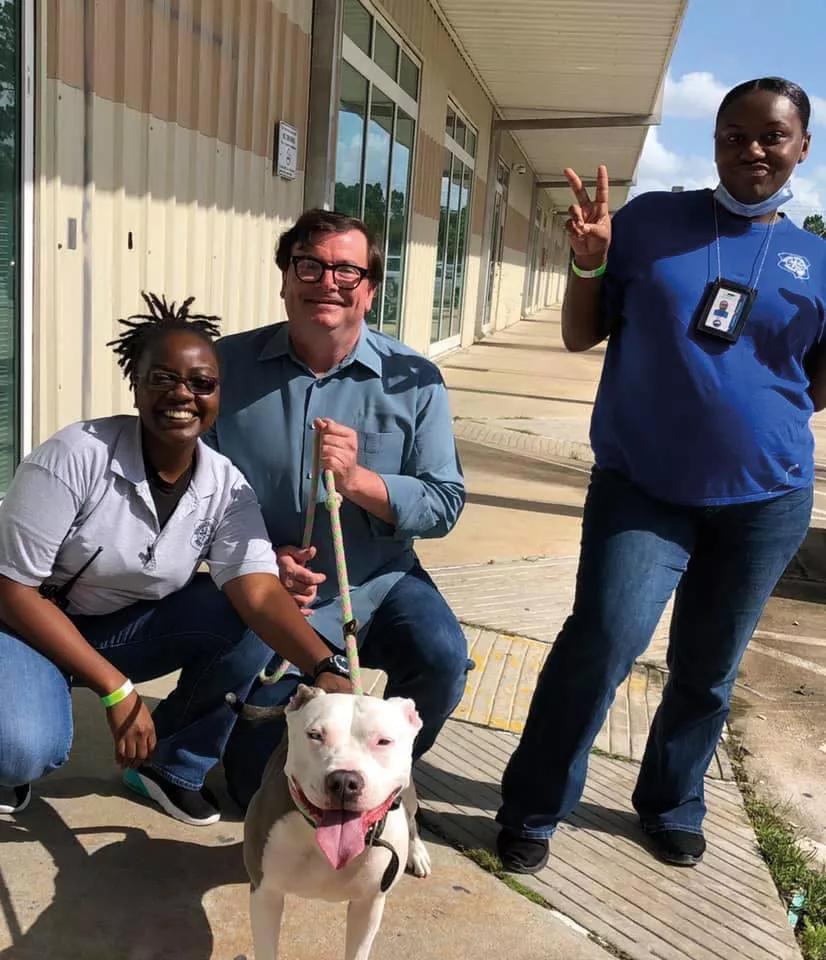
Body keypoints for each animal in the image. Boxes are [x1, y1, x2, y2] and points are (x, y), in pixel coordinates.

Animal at [241, 688, 428, 956]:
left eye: (383, 741)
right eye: (315, 735)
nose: (345, 781)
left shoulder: (369, 904)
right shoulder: (266, 893)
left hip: (409, 797)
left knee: (413, 820)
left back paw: (418, 852)